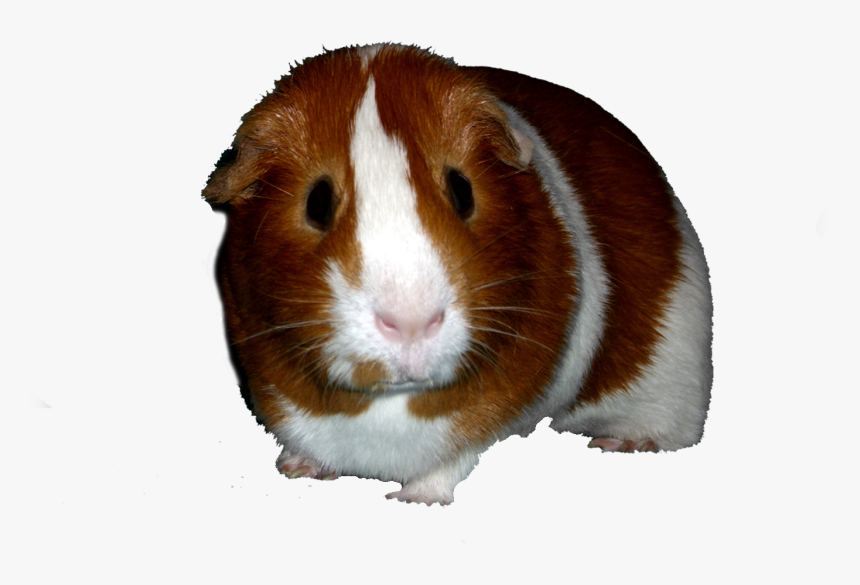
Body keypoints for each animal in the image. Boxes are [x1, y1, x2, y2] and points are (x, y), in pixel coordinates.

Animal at [203, 43, 712, 505]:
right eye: (317, 202)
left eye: (463, 190)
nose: (411, 322)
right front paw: (297, 469)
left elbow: (448, 463)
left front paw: (415, 501)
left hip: (670, 382)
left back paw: (620, 443)